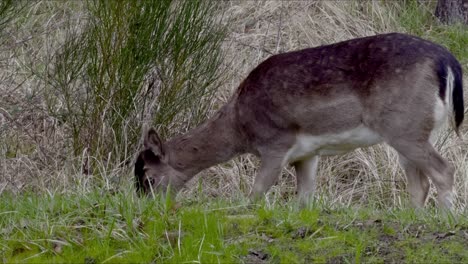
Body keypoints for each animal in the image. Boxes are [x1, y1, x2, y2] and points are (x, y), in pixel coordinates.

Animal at [133, 33, 462, 209]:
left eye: (148, 177)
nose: (143, 205)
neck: (241, 126)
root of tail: (447, 61)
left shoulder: (275, 142)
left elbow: (256, 193)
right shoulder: (307, 154)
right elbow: (304, 198)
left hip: (404, 127)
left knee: (445, 170)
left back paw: (446, 217)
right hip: (415, 130)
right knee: (419, 182)